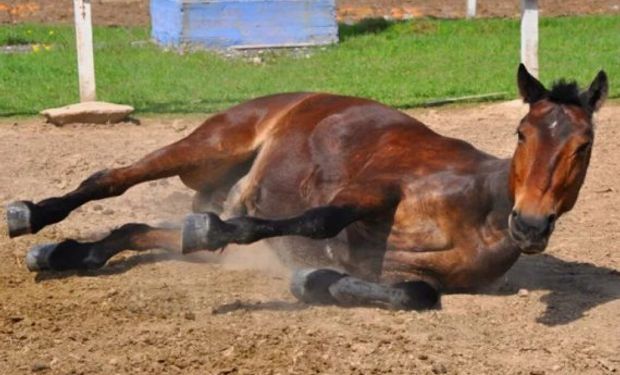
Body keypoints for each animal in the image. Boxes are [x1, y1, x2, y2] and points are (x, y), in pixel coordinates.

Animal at [4, 65, 608, 312]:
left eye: (584, 145)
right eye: (522, 132)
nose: (529, 225)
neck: (479, 211)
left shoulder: (416, 277)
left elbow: (417, 294)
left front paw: (315, 281)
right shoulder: (376, 187)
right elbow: (320, 219)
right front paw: (223, 231)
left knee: (135, 229)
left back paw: (65, 255)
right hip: (209, 147)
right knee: (111, 180)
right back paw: (31, 216)